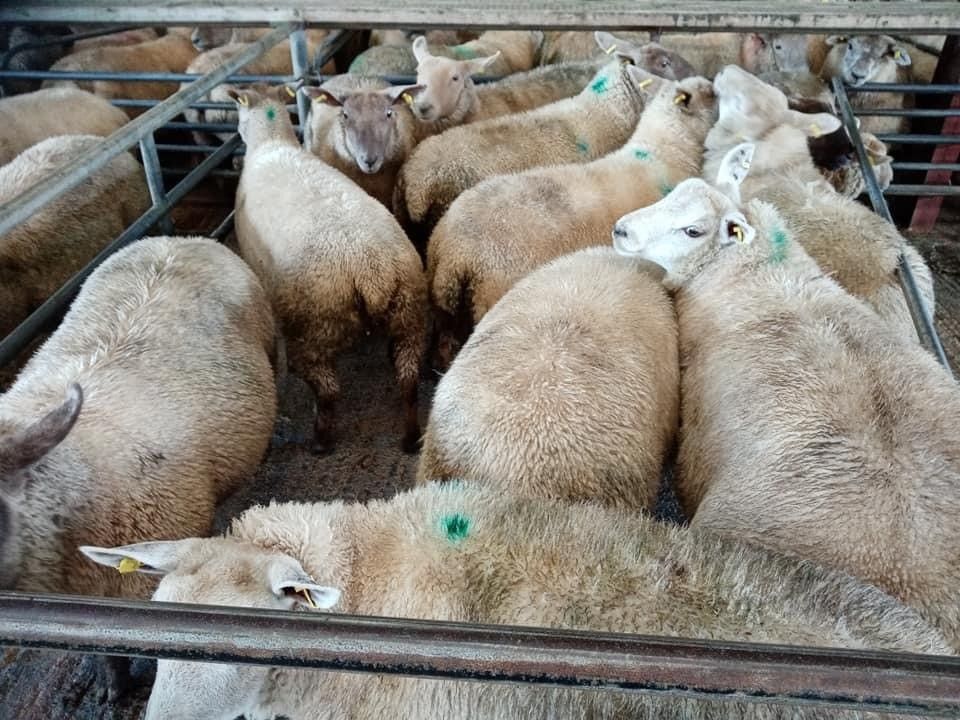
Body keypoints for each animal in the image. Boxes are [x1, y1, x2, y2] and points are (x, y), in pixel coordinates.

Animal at [426, 73, 716, 364]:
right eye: (709, 94)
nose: (715, 86)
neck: (665, 151)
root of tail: (451, 253)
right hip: (488, 291)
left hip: (447, 309)